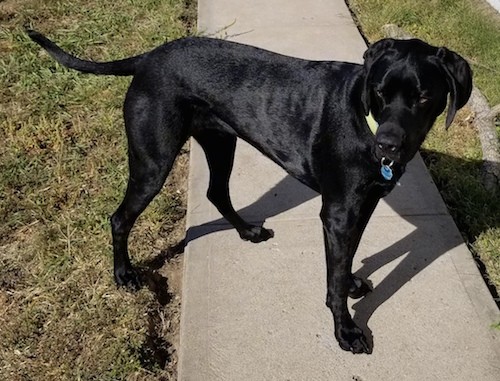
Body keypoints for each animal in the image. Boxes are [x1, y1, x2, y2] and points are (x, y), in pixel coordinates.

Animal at [28, 29, 472, 354]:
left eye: (425, 96)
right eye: (380, 91)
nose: (388, 147)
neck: (364, 119)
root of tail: (148, 57)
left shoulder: (362, 205)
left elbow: (345, 261)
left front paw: (351, 283)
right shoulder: (338, 212)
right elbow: (333, 278)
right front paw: (345, 329)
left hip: (220, 141)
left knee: (216, 193)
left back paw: (247, 231)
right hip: (153, 163)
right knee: (121, 216)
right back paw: (123, 275)